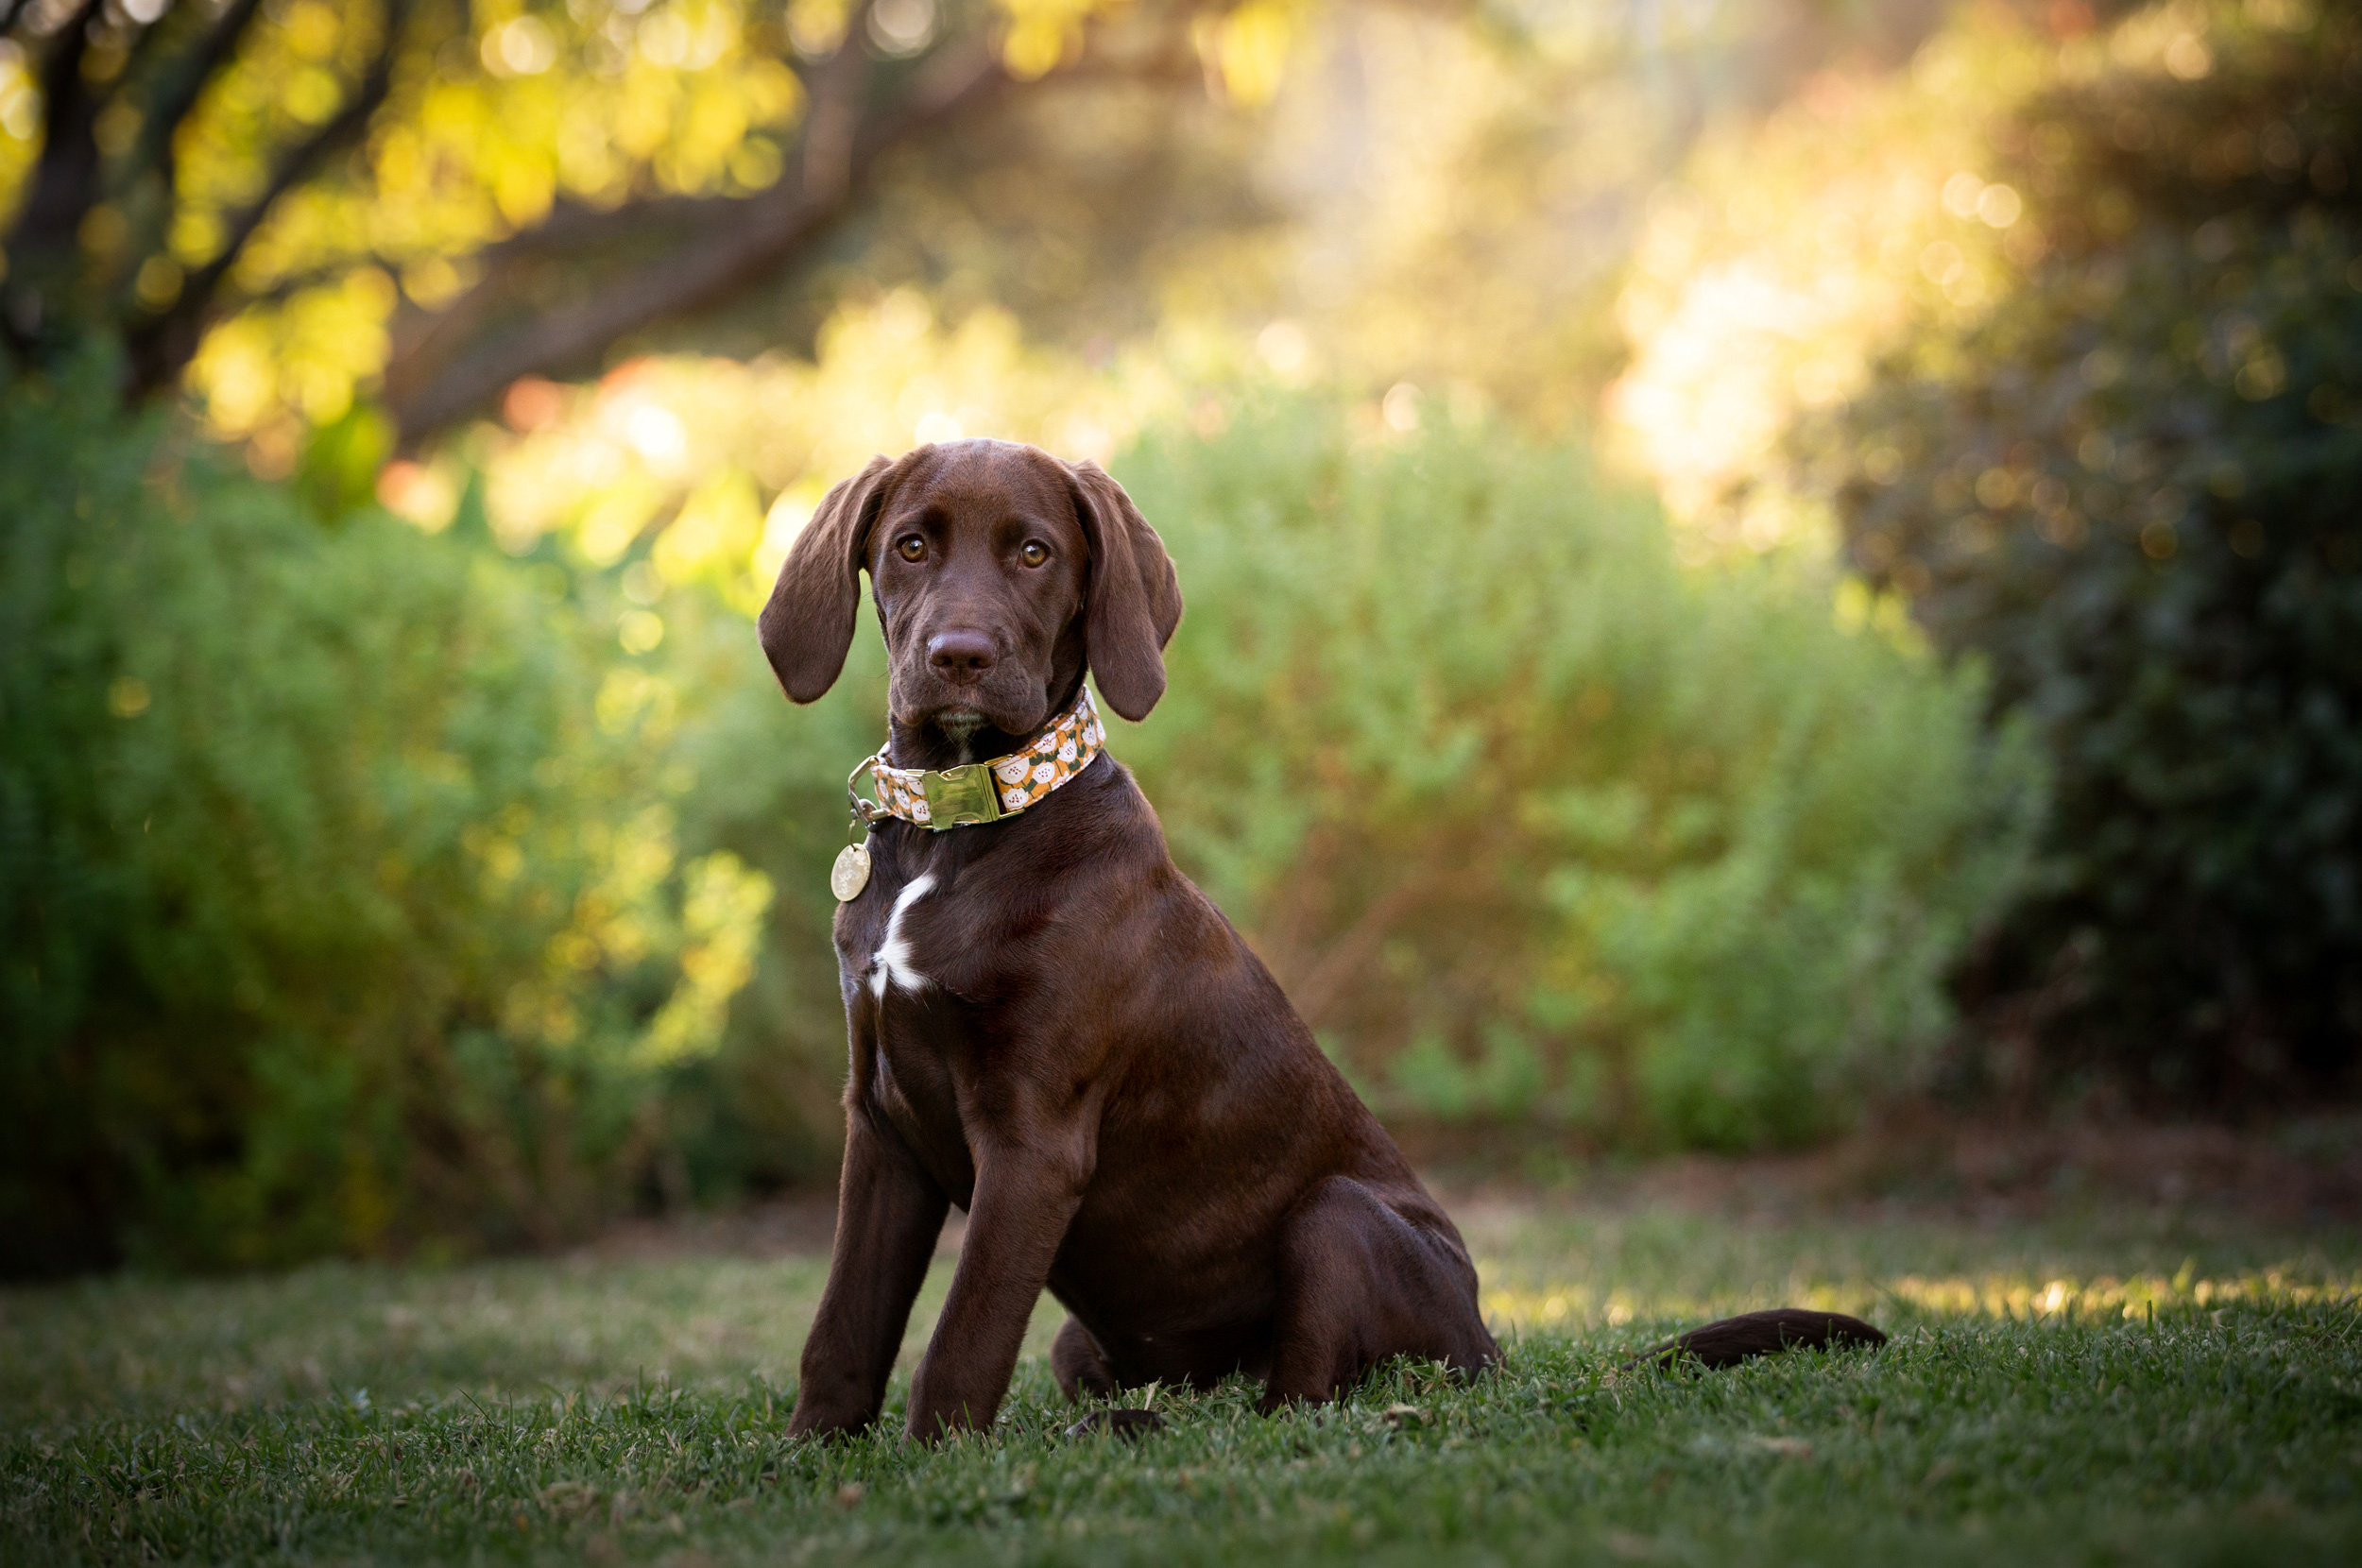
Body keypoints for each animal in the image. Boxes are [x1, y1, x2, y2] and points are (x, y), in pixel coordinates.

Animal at [761, 441, 1880, 1445]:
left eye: (1034, 552)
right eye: (910, 546)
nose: (958, 655)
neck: (955, 832)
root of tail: (1491, 1343)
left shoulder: (1033, 1137)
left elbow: (964, 1336)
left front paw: (933, 1458)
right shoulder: (882, 1120)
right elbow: (843, 1326)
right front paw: (811, 1457)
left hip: (1337, 1219)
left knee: (1298, 1398)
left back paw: (1139, 1428)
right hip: (1090, 1341)